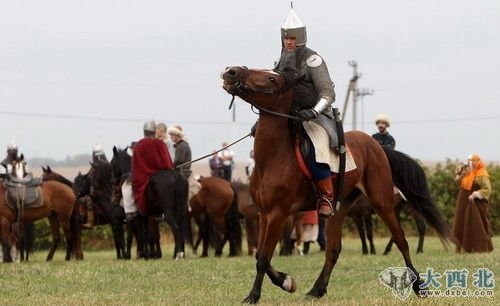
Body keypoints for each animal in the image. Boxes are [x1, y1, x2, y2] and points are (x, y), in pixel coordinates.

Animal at [222, 65, 454, 302]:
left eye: (271, 79)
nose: (232, 72)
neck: (273, 158)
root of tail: (376, 146)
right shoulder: (264, 214)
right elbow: (260, 254)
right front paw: (286, 282)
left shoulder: (278, 214)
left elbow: (263, 258)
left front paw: (255, 295)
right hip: (339, 208)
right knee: (333, 249)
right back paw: (317, 289)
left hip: (382, 202)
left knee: (401, 240)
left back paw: (419, 286)